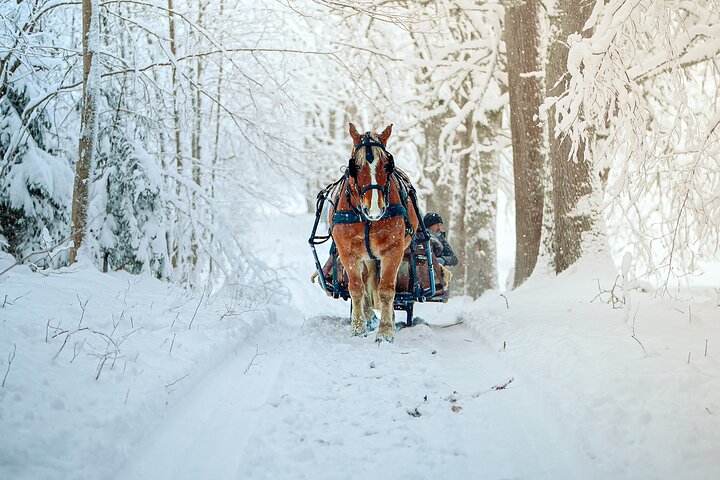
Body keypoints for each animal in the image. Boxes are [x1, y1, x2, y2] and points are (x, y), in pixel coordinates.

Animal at [329, 123, 420, 343]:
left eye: (387, 164)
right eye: (355, 165)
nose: (374, 209)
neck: (367, 219)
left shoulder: (393, 249)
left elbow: (386, 289)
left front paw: (386, 331)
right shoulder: (347, 251)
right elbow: (356, 287)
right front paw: (358, 328)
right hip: (364, 256)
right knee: (366, 280)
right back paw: (369, 316)